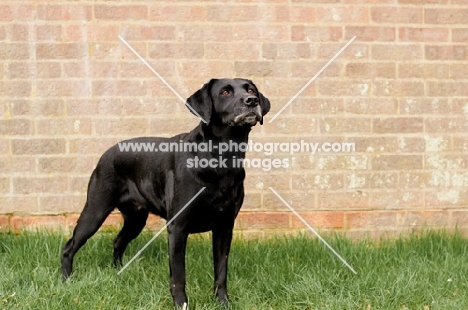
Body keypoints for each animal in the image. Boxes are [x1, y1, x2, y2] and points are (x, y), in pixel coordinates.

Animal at [60, 78, 270, 308]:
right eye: (225, 92)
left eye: (250, 89)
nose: (252, 100)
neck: (222, 161)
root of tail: (108, 151)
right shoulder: (178, 227)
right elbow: (178, 276)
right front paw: (181, 304)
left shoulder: (225, 226)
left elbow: (221, 272)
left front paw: (223, 303)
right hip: (96, 209)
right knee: (69, 246)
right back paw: (66, 281)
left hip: (136, 218)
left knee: (118, 241)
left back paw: (118, 273)